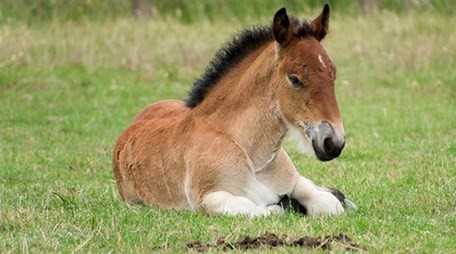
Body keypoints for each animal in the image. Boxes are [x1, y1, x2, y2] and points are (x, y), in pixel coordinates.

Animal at [112, 4, 348, 216]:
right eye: (294, 79)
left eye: (333, 74)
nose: (333, 142)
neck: (253, 157)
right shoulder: (209, 198)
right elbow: (257, 209)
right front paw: (286, 205)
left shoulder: (295, 182)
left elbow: (329, 204)